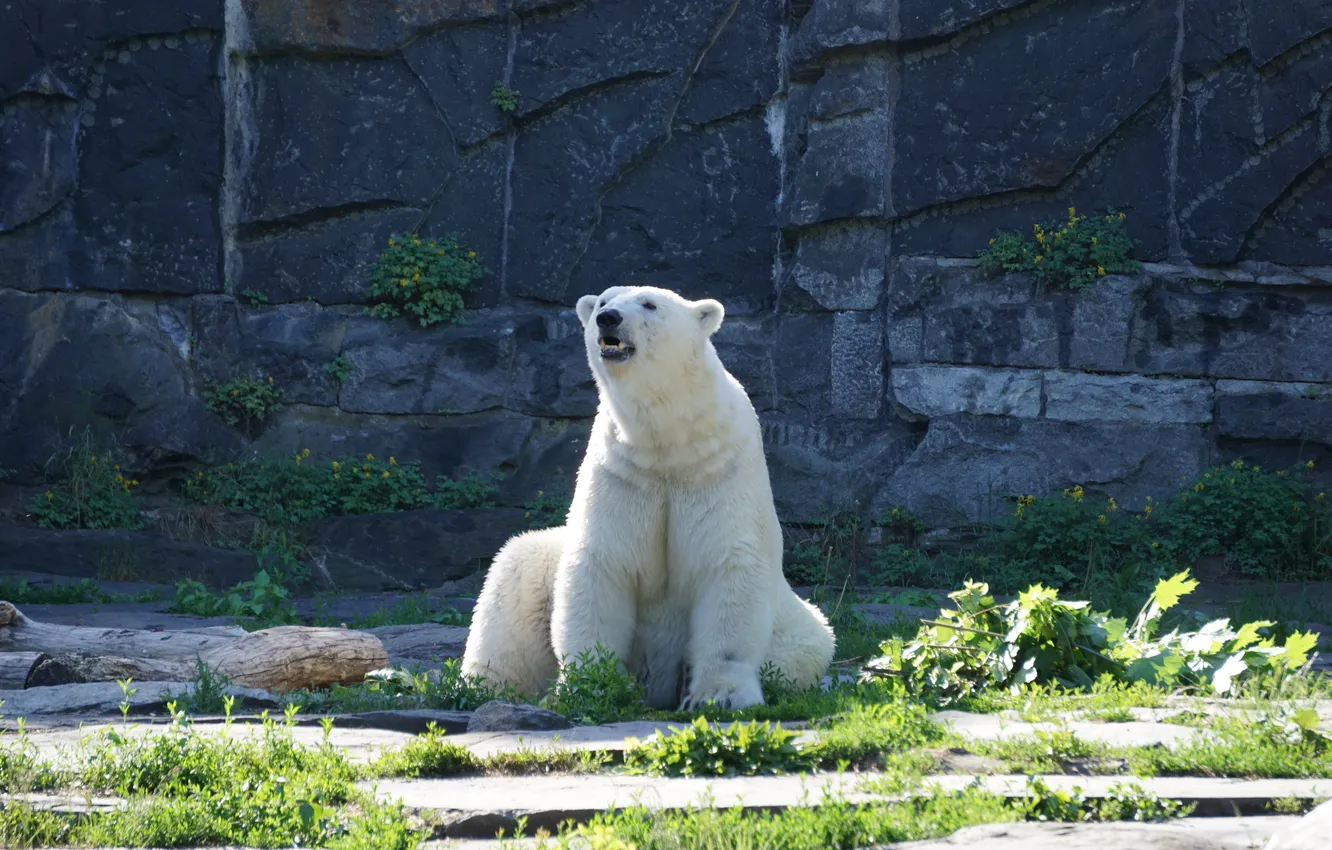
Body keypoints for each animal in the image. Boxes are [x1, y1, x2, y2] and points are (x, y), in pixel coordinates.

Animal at [461, 285, 835, 710]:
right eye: (603, 301)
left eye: (649, 304)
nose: (608, 318)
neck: (669, 442)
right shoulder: (623, 473)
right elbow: (602, 564)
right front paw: (584, 687)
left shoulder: (720, 469)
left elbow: (728, 565)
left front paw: (717, 697)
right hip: (537, 568)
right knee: (512, 579)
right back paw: (481, 687)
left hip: (799, 632)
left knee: (806, 649)